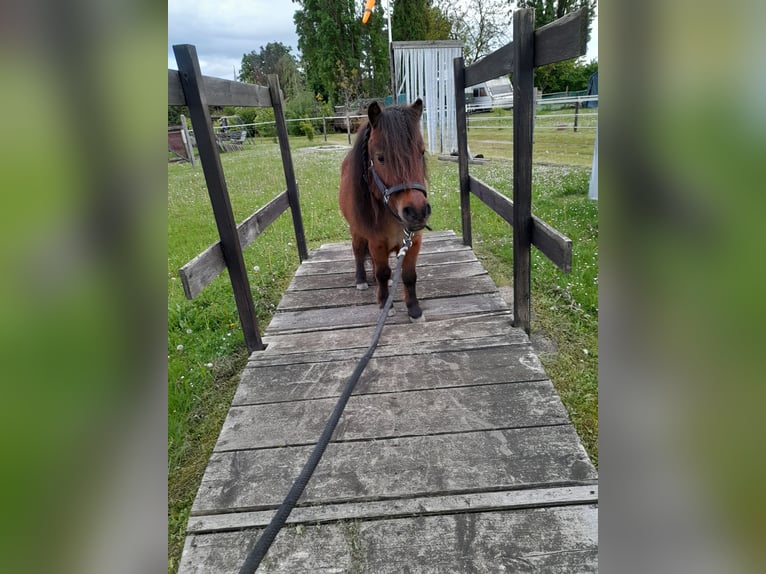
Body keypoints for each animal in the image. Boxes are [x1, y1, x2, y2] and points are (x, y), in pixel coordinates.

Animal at [340, 99, 432, 324]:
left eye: (421, 152)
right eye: (380, 158)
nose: (417, 212)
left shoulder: (413, 242)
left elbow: (409, 276)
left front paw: (414, 309)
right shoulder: (376, 242)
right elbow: (382, 272)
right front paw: (384, 304)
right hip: (356, 232)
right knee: (358, 251)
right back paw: (361, 279)